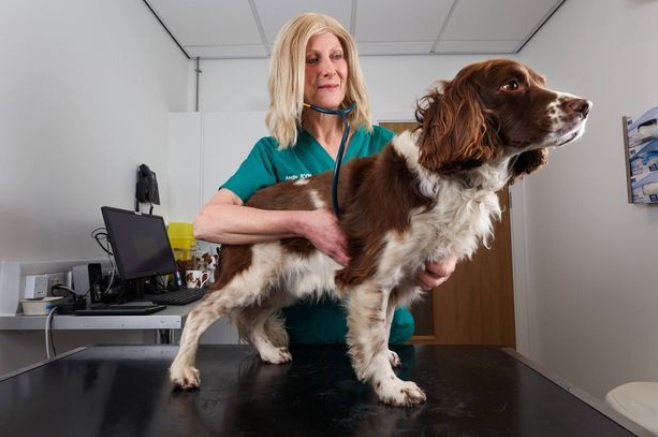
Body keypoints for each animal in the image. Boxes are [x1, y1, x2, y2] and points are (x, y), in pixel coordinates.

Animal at [170, 58, 588, 406]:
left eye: (539, 81)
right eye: (512, 85)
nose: (585, 105)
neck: (447, 174)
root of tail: (248, 200)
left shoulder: (396, 280)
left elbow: (382, 331)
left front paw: (382, 362)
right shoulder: (372, 279)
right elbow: (371, 335)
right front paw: (391, 387)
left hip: (283, 282)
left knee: (252, 319)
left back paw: (271, 353)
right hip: (250, 276)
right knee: (202, 313)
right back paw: (183, 370)